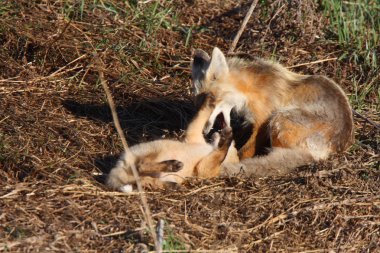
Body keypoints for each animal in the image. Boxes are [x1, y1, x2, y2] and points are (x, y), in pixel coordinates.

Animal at [105, 94, 239, 191]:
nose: (218, 131)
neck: (209, 148)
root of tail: (116, 172)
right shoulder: (193, 136)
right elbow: (202, 115)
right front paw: (211, 100)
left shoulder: (205, 170)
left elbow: (222, 153)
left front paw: (228, 137)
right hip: (154, 153)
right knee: (141, 167)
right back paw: (172, 171)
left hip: (152, 161)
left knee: (142, 169)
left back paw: (172, 174)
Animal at [191, 47, 354, 178]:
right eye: (197, 105)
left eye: (210, 104)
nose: (203, 132)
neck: (250, 89)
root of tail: (321, 154)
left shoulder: (263, 120)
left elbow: (246, 150)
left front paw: (240, 160)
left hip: (279, 118)